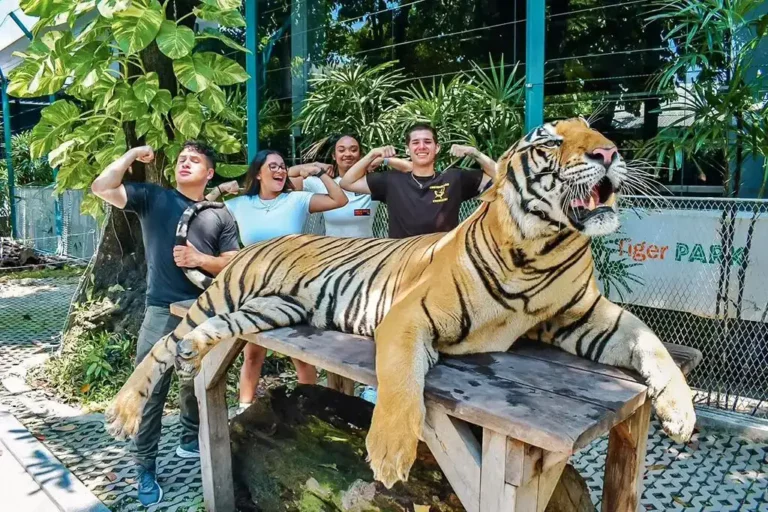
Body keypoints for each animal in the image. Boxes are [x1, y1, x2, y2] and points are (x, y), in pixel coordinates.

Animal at [105, 117, 695, 489]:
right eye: (551, 143)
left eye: (598, 132)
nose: (609, 153)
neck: (540, 248)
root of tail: (254, 243)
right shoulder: (409, 316)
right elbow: (399, 378)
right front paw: (389, 453)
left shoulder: (587, 315)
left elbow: (651, 342)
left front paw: (681, 412)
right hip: (224, 294)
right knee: (162, 344)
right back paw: (123, 411)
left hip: (269, 309)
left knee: (203, 335)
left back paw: (192, 356)